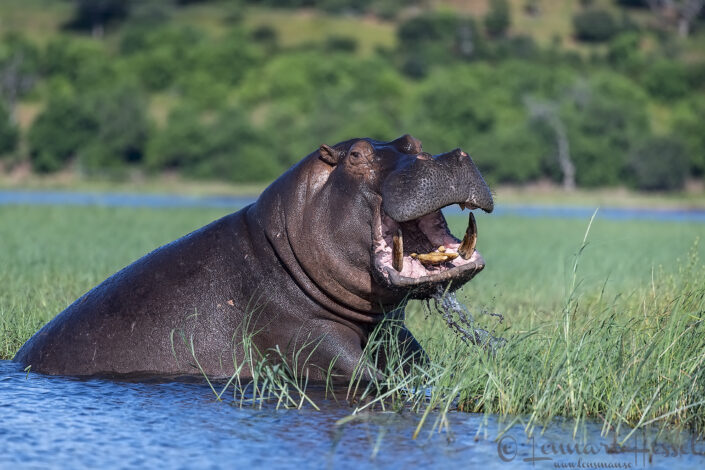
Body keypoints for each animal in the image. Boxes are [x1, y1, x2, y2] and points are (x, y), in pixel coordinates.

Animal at [14, 135, 493, 380]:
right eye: (356, 155)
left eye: (412, 141)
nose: (448, 156)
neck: (282, 258)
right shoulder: (312, 341)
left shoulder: (394, 337)